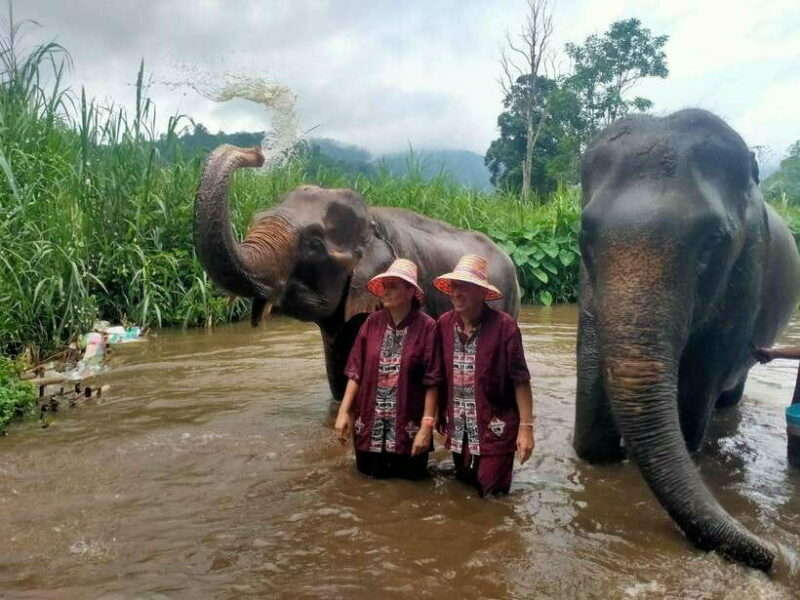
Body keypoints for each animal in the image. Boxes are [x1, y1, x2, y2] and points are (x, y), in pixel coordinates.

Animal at [572, 108, 800, 571]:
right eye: (585, 237)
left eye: (713, 241)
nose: (773, 556)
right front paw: (599, 454)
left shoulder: (747, 272)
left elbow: (701, 376)